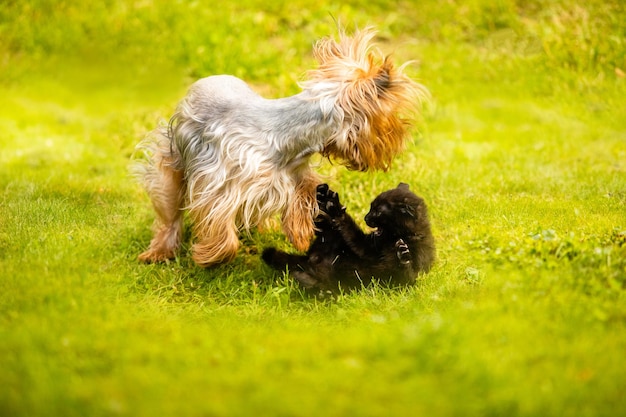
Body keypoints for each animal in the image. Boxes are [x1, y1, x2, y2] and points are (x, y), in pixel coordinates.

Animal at [131, 26, 424, 266]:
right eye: (391, 122)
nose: (401, 139)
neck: (288, 138)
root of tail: (205, 80)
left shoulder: (295, 177)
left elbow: (302, 200)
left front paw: (301, 235)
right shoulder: (220, 184)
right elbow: (222, 228)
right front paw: (209, 255)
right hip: (171, 160)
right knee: (170, 212)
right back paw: (159, 251)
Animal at [262, 182, 434, 292]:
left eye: (378, 212)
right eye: (371, 207)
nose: (366, 217)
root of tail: (311, 258)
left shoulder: (409, 276)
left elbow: (406, 275)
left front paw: (403, 254)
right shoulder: (369, 245)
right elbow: (351, 230)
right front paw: (337, 210)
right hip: (328, 240)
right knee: (323, 228)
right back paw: (325, 198)